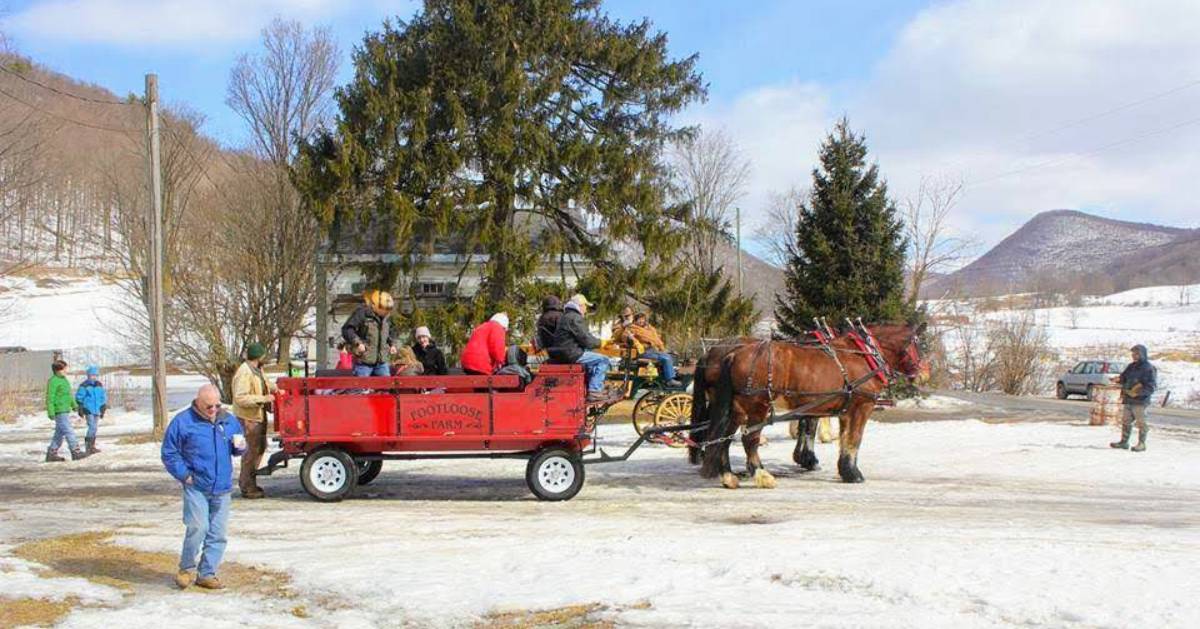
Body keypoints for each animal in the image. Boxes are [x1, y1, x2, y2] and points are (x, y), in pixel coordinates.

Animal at [689, 323, 925, 489]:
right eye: (919, 345)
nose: (923, 375)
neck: (865, 355)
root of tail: (731, 354)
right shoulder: (861, 407)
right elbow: (853, 439)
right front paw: (852, 473)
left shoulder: (843, 410)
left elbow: (842, 439)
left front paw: (842, 470)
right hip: (757, 406)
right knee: (749, 440)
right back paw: (762, 475)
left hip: (735, 409)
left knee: (723, 439)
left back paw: (728, 476)